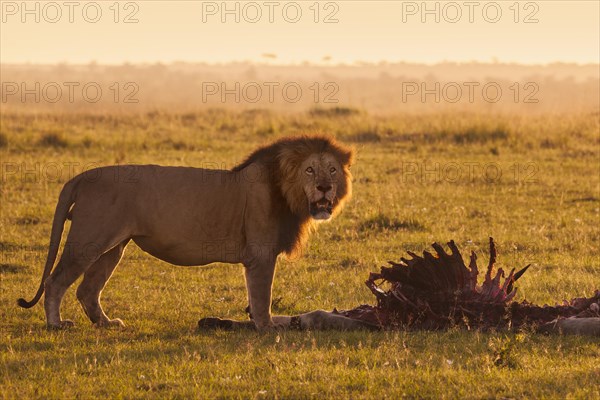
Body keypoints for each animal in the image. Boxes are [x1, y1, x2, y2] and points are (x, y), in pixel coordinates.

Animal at [18, 136, 354, 330]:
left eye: (332, 170)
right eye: (310, 170)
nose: (325, 187)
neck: (288, 193)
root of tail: (82, 176)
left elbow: (257, 296)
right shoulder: (260, 255)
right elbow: (262, 296)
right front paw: (268, 328)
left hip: (113, 247)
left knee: (87, 290)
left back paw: (107, 323)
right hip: (89, 240)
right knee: (55, 281)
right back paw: (56, 324)